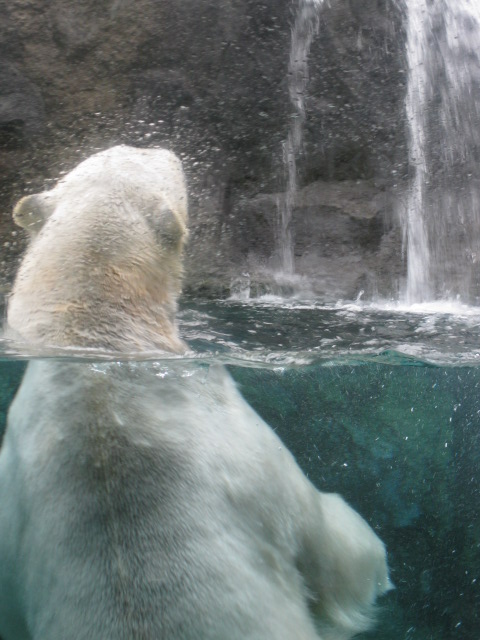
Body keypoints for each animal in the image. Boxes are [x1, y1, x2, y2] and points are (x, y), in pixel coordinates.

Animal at [0, 146, 390, 640]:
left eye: (120, 148)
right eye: (139, 152)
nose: (163, 147)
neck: (94, 348)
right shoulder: (240, 443)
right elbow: (334, 543)